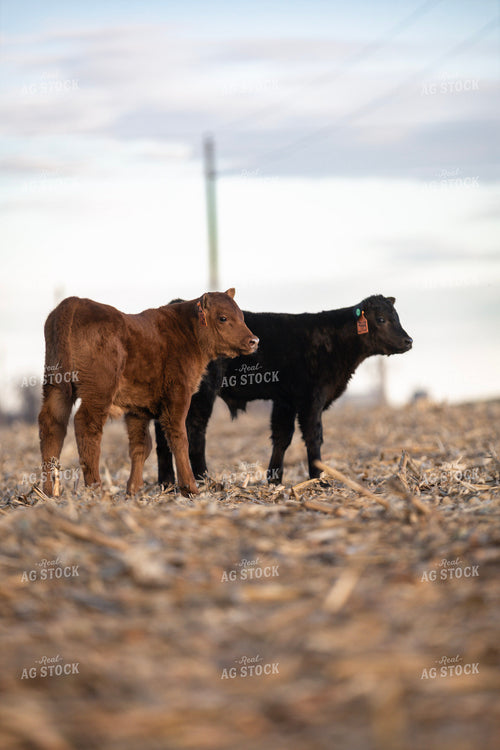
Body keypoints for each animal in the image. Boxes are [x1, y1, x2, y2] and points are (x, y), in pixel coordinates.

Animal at [38, 290, 258, 498]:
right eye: (223, 317)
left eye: (242, 316)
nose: (254, 340)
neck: (187, 332)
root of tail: (74, 302)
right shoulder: (177, 395)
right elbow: (179, 438)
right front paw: (190, 489)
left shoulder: (137, 409)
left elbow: (141, 446)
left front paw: (133, 490)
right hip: (98, 392)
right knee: (86, 426)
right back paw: (97, 490)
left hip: (55, 388)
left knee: (52, 426)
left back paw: (48, 492)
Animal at [155, 295, 412, 485]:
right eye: (381, 319)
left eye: (397, 316)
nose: (409, 341)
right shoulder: (312, 397)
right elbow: (314, 435)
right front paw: (319, 479)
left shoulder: (285, 400)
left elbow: (281, 436)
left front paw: (275, 480)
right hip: (202, 393)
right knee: (195, 430)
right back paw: (203, 479)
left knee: (163, 434)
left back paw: (167, 482)